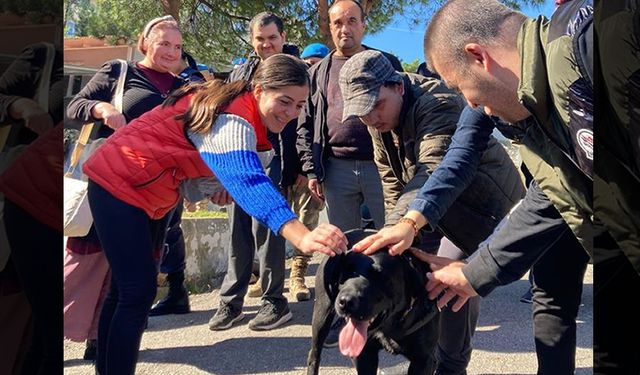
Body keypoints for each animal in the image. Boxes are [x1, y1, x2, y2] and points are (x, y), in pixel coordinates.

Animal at [306, 229, 438, 375]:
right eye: (346, 271)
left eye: (380, 276)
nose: (346, 302)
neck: (390, 325)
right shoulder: (363, 355)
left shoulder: (423, 360)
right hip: (321, 315)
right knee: (314, 354)